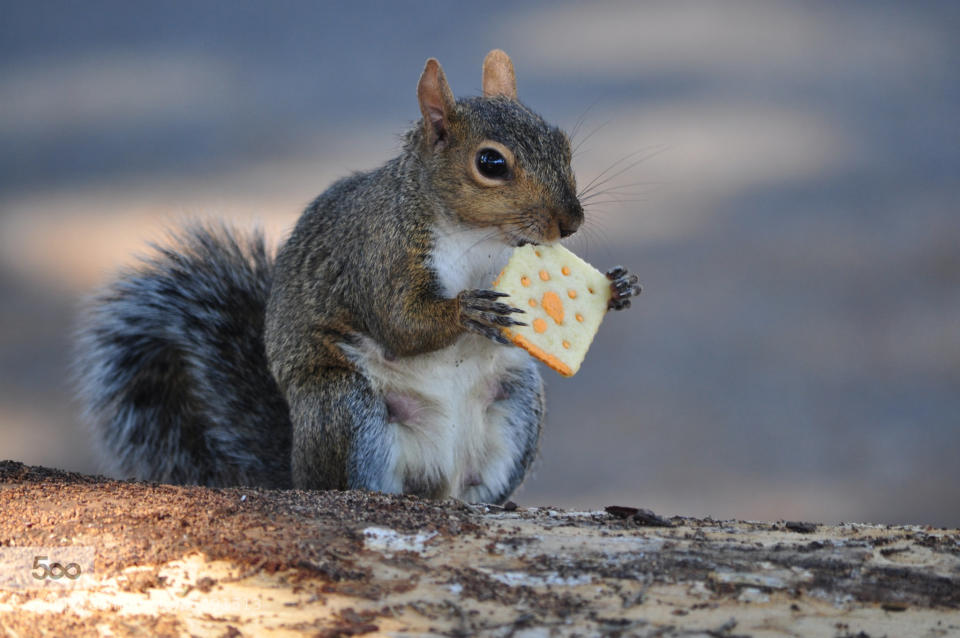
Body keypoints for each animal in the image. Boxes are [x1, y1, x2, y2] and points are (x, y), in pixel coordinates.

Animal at [75, 51, 640, 504]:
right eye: (491, 163)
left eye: (561, 142)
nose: (570, 222)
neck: (478, 236)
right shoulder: (378, 257)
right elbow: (400, 324)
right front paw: (468, 309)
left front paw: (620, 287)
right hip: (346, 409)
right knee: (356, 483)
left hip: (516, 405)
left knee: (478, 489)